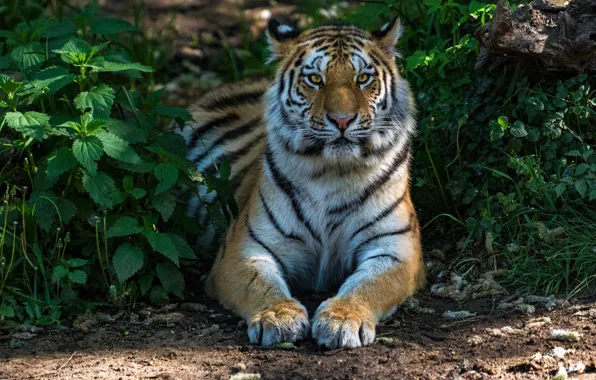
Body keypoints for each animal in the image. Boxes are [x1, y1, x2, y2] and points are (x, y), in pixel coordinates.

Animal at [177, 18, 424, 350]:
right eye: (315, 79)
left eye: (362, 78)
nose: (342, 120)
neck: (334, 172)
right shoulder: (243, 248)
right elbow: (260, 284)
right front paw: (278, 316)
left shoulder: (396, 248)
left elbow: (370, 284)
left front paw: (343, 318)